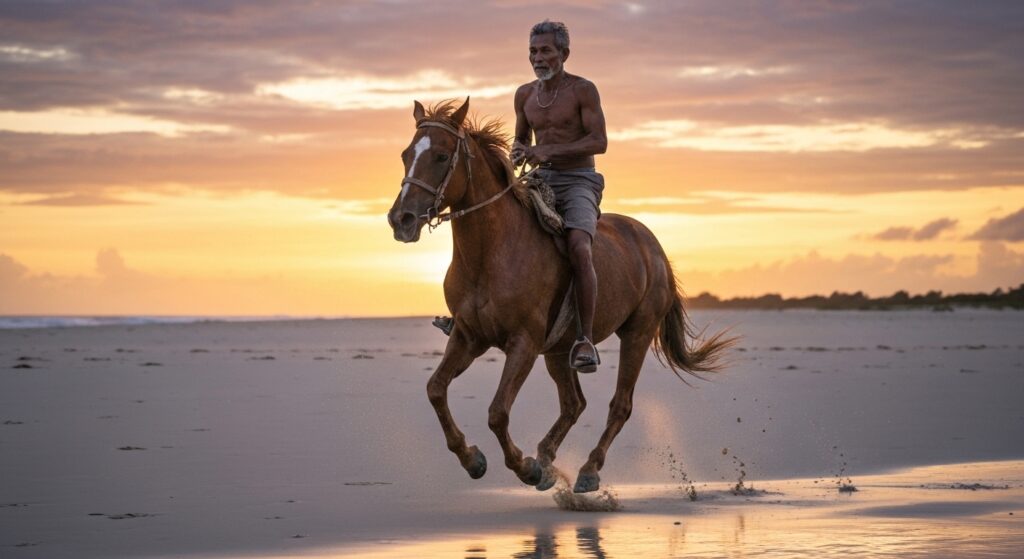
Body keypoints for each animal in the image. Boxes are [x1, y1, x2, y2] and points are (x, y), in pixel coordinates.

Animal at [386, 97, 733, 493]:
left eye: (442, 156)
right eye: (406, 155)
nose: (401, 219)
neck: (491, 252)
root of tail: (653, 246)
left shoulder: (524, 342)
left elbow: (497, 412)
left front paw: (524, 467)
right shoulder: (468, 336)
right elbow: (435, 389)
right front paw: (473, 459)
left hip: (637, 333)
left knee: (620, 405)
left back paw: (586, 470)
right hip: (559, 349)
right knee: (573, 404)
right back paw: (548, 458)